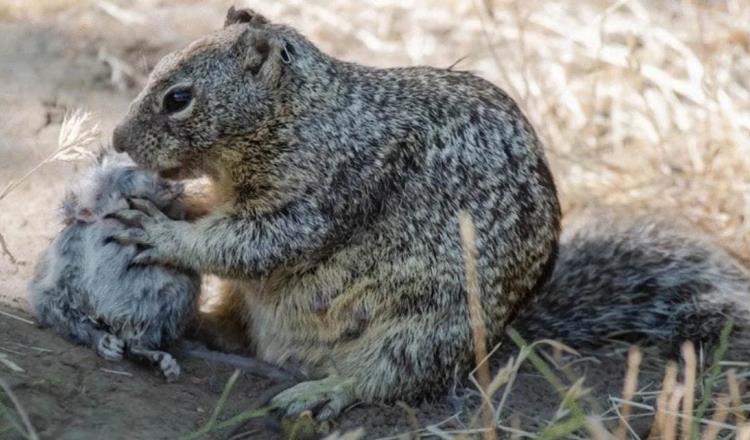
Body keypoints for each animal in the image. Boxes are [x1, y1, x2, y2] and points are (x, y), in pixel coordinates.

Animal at [28, 150, 201, 380]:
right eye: (131, 168)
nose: (170, 182)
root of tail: (115, 321)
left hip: (172, 300)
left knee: (136, 343)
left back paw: (159, 361)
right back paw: (107, 343)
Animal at [108, 6, 748, 420]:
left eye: (178, 98)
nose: (116, 139)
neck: (305, 115)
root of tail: (502, 337)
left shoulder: (323, 194)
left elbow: (252, 243)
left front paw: (161, 232)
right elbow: (219, 219)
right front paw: (174, 203)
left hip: (420, 333)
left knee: (386, 381)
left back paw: (321, 393)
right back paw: (202, 326)